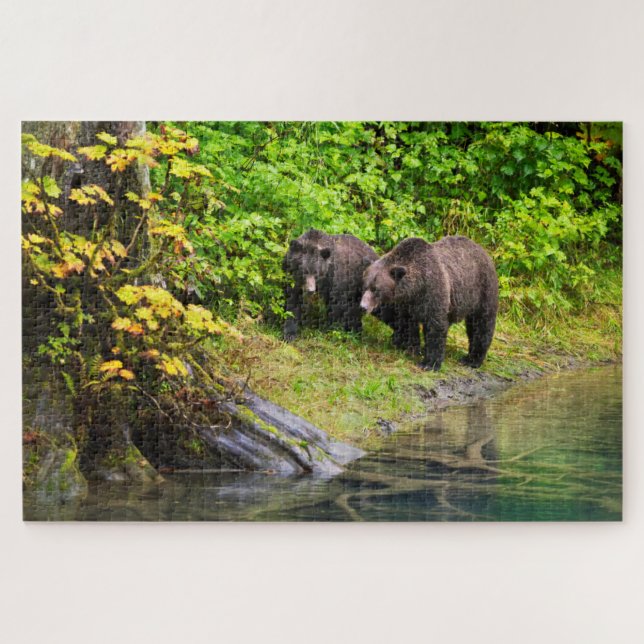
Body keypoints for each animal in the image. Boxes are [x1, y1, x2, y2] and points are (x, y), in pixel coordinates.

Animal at [360, 235, 498, 370]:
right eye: (365, 285)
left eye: (376, 289)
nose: (363, 306)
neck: (416, 287)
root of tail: (483, 250)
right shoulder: (405, 304)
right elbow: (407, 324)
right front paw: (409, 347)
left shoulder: (433, 292)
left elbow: (435, 326)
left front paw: (429, 363)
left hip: (482, 290)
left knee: (482, 324)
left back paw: (472, 360)